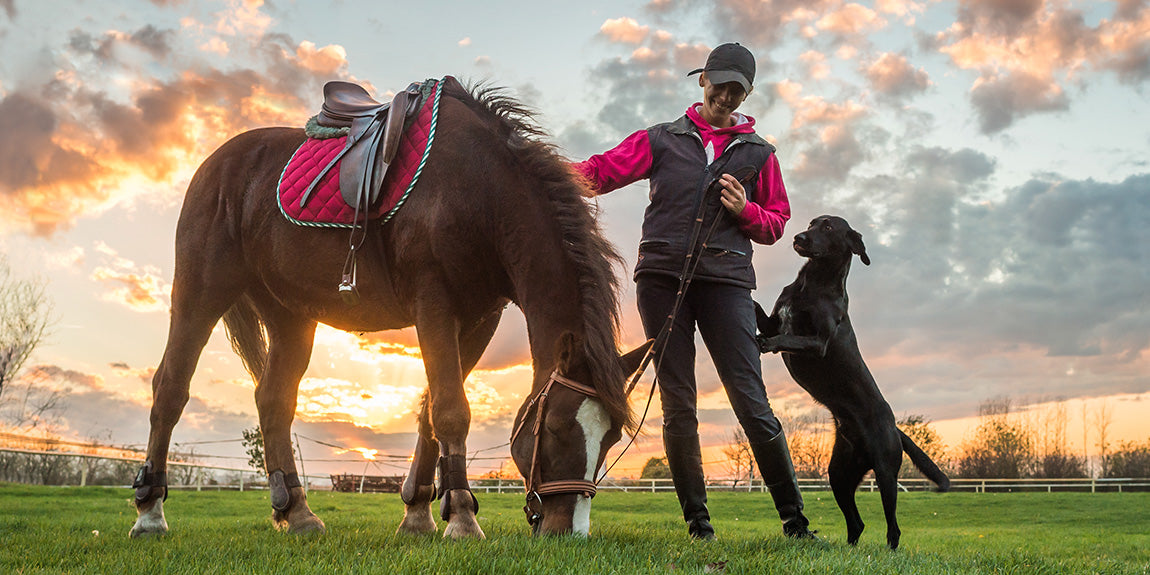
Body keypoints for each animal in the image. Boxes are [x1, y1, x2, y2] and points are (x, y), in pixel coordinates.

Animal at [129, 78, 653, 540]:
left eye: (610, 438)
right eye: (560, 428)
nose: (570, 531)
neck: (480, 190)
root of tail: (216, 164)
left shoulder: (479, 319)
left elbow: (428, 412)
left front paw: (419, 514)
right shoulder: (433, 304)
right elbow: (450, 410)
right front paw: (463, 519)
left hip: (290, 316)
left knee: (274, 400)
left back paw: (298, 513)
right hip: (200, 293)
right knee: (170, 389)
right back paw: (150, 514)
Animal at [754, 215, 943, 547]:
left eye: (828, 228)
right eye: (812, 223)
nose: (798, 237)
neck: (812, 283)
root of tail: (894, 427)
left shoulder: (817, 342)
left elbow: (787, 337)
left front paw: (768, 343)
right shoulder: (774, 318)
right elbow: (761, 314)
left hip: (885, 472)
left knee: (893, 528)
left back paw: (889, 552)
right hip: (839, 474)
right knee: (857, 523)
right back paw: (849, 550)